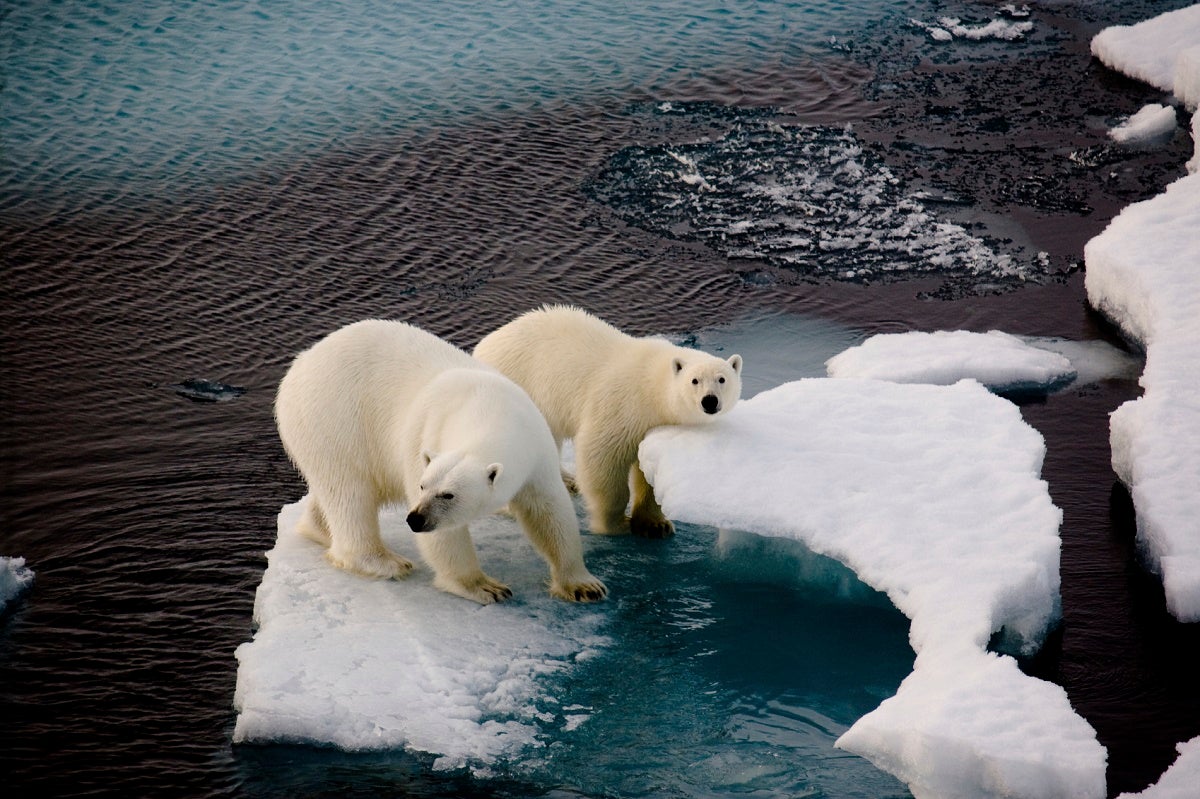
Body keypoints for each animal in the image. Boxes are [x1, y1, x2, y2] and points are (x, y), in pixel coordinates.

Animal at [274, 316, 604, 604]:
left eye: (448, 494)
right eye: (423, 487)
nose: (415, 518)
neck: (489, 408)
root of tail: (301, 362)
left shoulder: (535, 447)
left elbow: (549, 511)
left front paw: (583, 586)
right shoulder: (425, 434)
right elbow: (447, 538)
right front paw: (485, 587)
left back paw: (319, 528)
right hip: (334, 418)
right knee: (350, 492)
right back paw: (386, 562)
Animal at [470, 304, 739, 535]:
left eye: (722, 379)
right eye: (695, 380)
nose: (709, 401)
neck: (652, 385)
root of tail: (482, 346)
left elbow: (649, 470)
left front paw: (655, 525)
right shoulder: (622, 406)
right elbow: (602, 458)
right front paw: (615, 523)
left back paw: (567, 481)